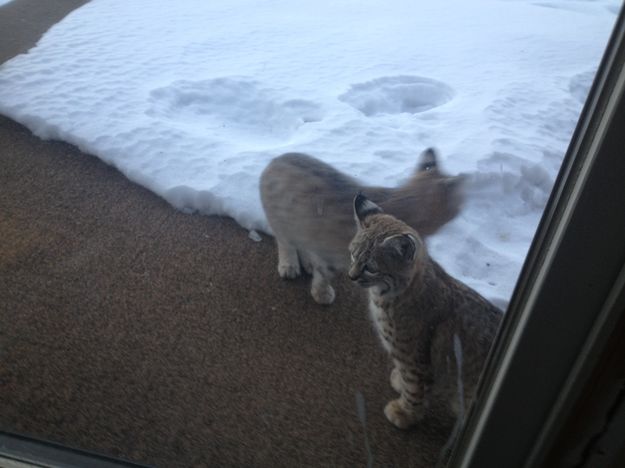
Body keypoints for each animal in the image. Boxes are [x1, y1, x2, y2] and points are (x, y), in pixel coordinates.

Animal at [258, 148, 464, 306]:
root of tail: (278, 157)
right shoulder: (334, 256)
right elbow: (325, 274)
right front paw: (321, 294)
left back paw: (308, 260)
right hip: (280, 219)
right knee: (285, 241)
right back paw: (289, 264)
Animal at [348, 193, 500, 428]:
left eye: (370, 268)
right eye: (353, 256)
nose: (351, 276)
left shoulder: (415, 360)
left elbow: (414, 389)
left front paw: (405, 414)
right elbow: (406, 378)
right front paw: (399, 384)